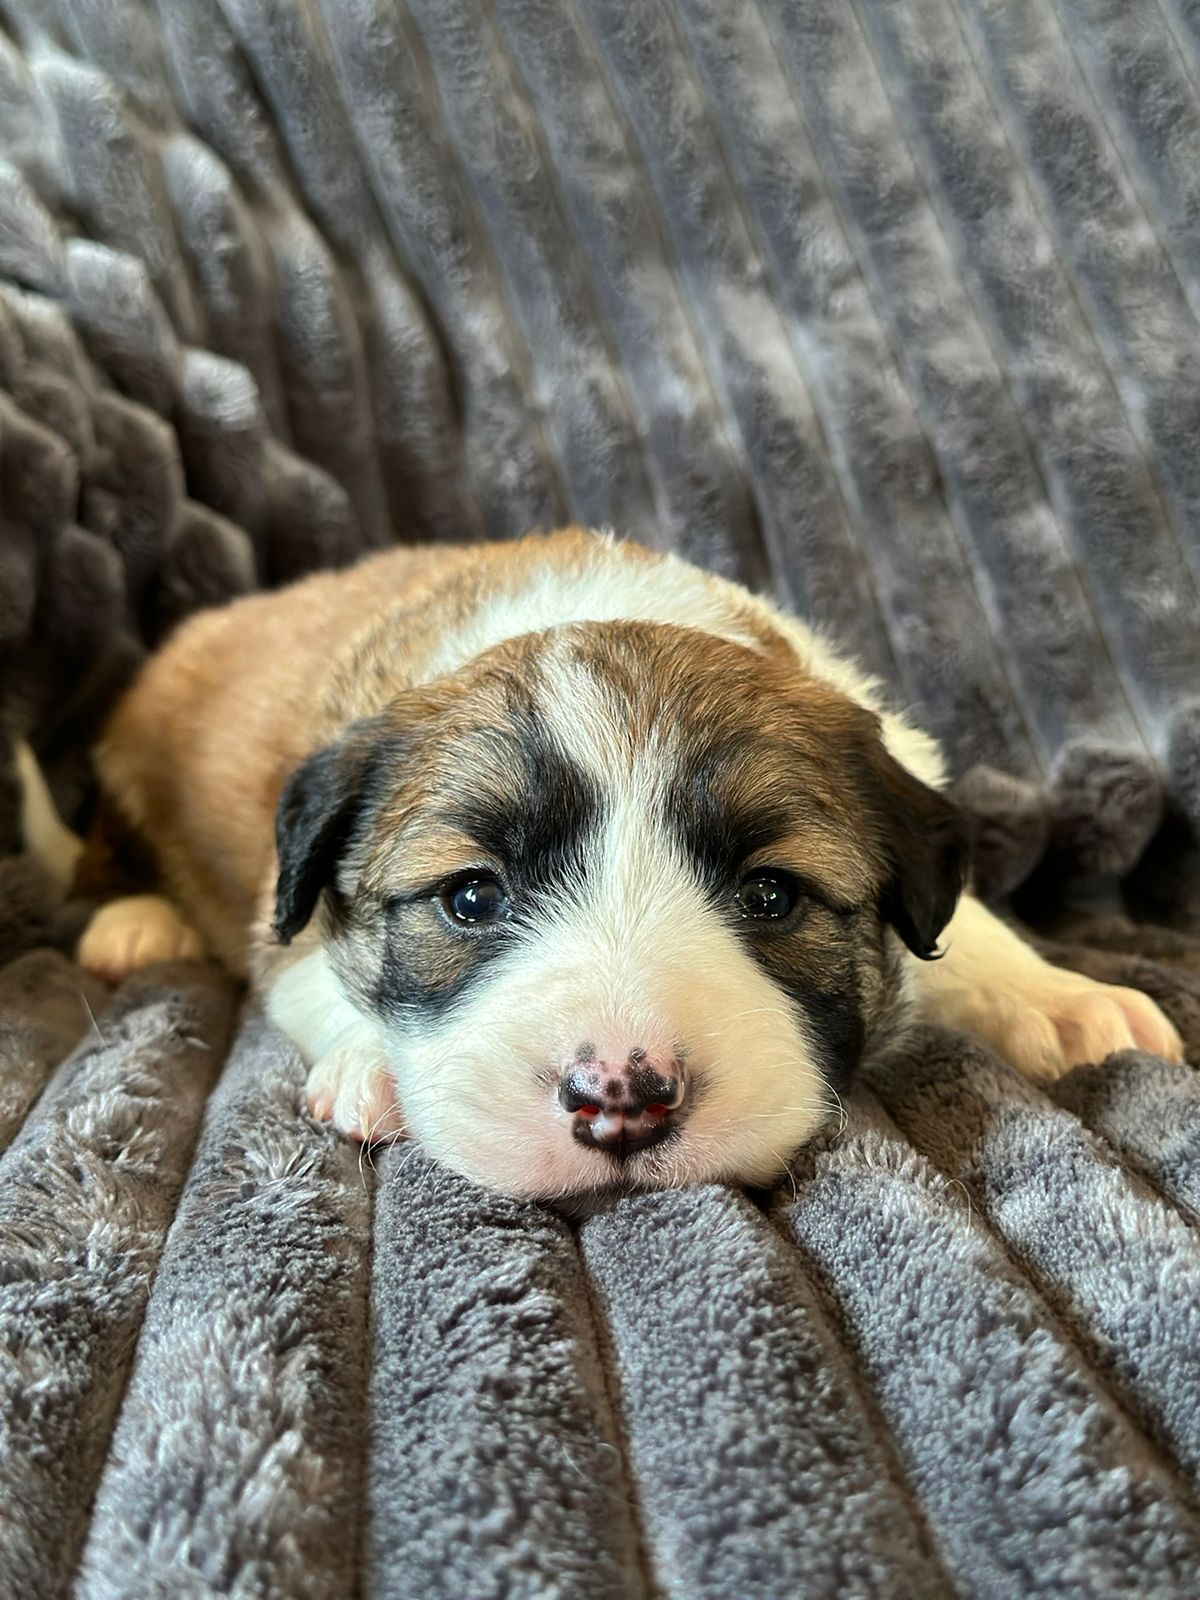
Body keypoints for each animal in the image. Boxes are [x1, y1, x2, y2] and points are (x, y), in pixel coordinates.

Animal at [53, 528, 1181, 1199]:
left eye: (772, 893)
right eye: (472, 897)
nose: (622, 1099)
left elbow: (967, 932)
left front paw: (1060, 998)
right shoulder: (284, 923)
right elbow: (315, 977)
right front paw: (376, 1064)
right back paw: (135, 918)